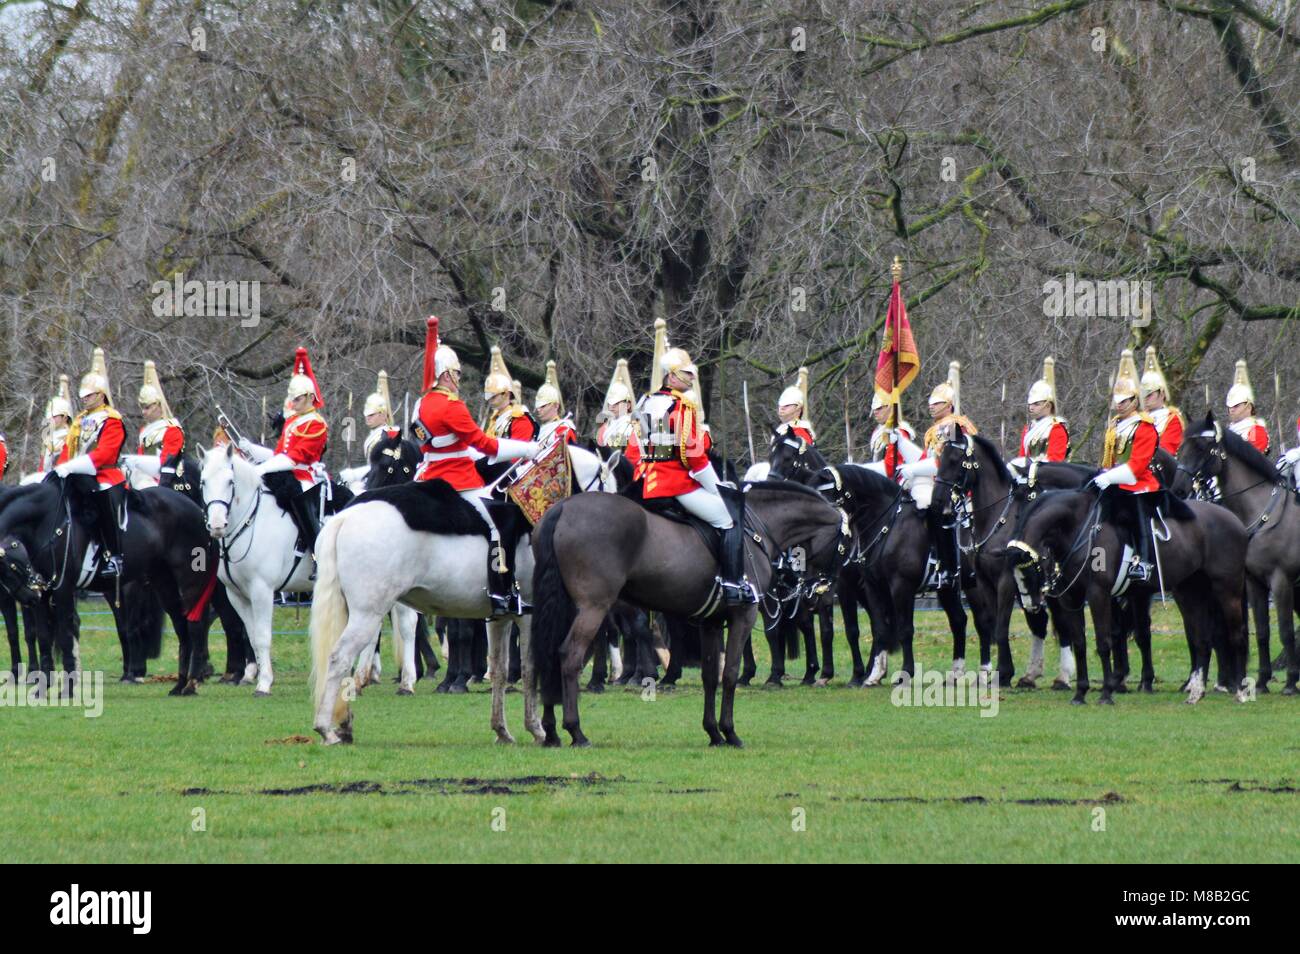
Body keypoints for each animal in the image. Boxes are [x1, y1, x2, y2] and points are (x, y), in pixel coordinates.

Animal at [197, 444, 416, 696]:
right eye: (203, 481)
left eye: (230, 481)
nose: (216, 525)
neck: (250, 522)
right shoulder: (237, 595)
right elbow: (251, 637)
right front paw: (255, 675)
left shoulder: (262, 590)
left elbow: (262, 637)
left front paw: (264, 683)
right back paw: (360, 679)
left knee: (408, 624)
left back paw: (407, 682)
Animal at [533, 486, 847, 748]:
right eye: (844, 546)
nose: (824, 596)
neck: (755, 530)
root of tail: (563, 507)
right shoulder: (743, 617)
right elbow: (729, 673)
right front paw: (730, 732)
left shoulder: (710, 623)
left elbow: (710, 676)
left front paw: (713, 733)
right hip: (593, 607)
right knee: (569, 656)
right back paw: (576, 731)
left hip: (566, 606)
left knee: (549, 653)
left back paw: (550, 731)